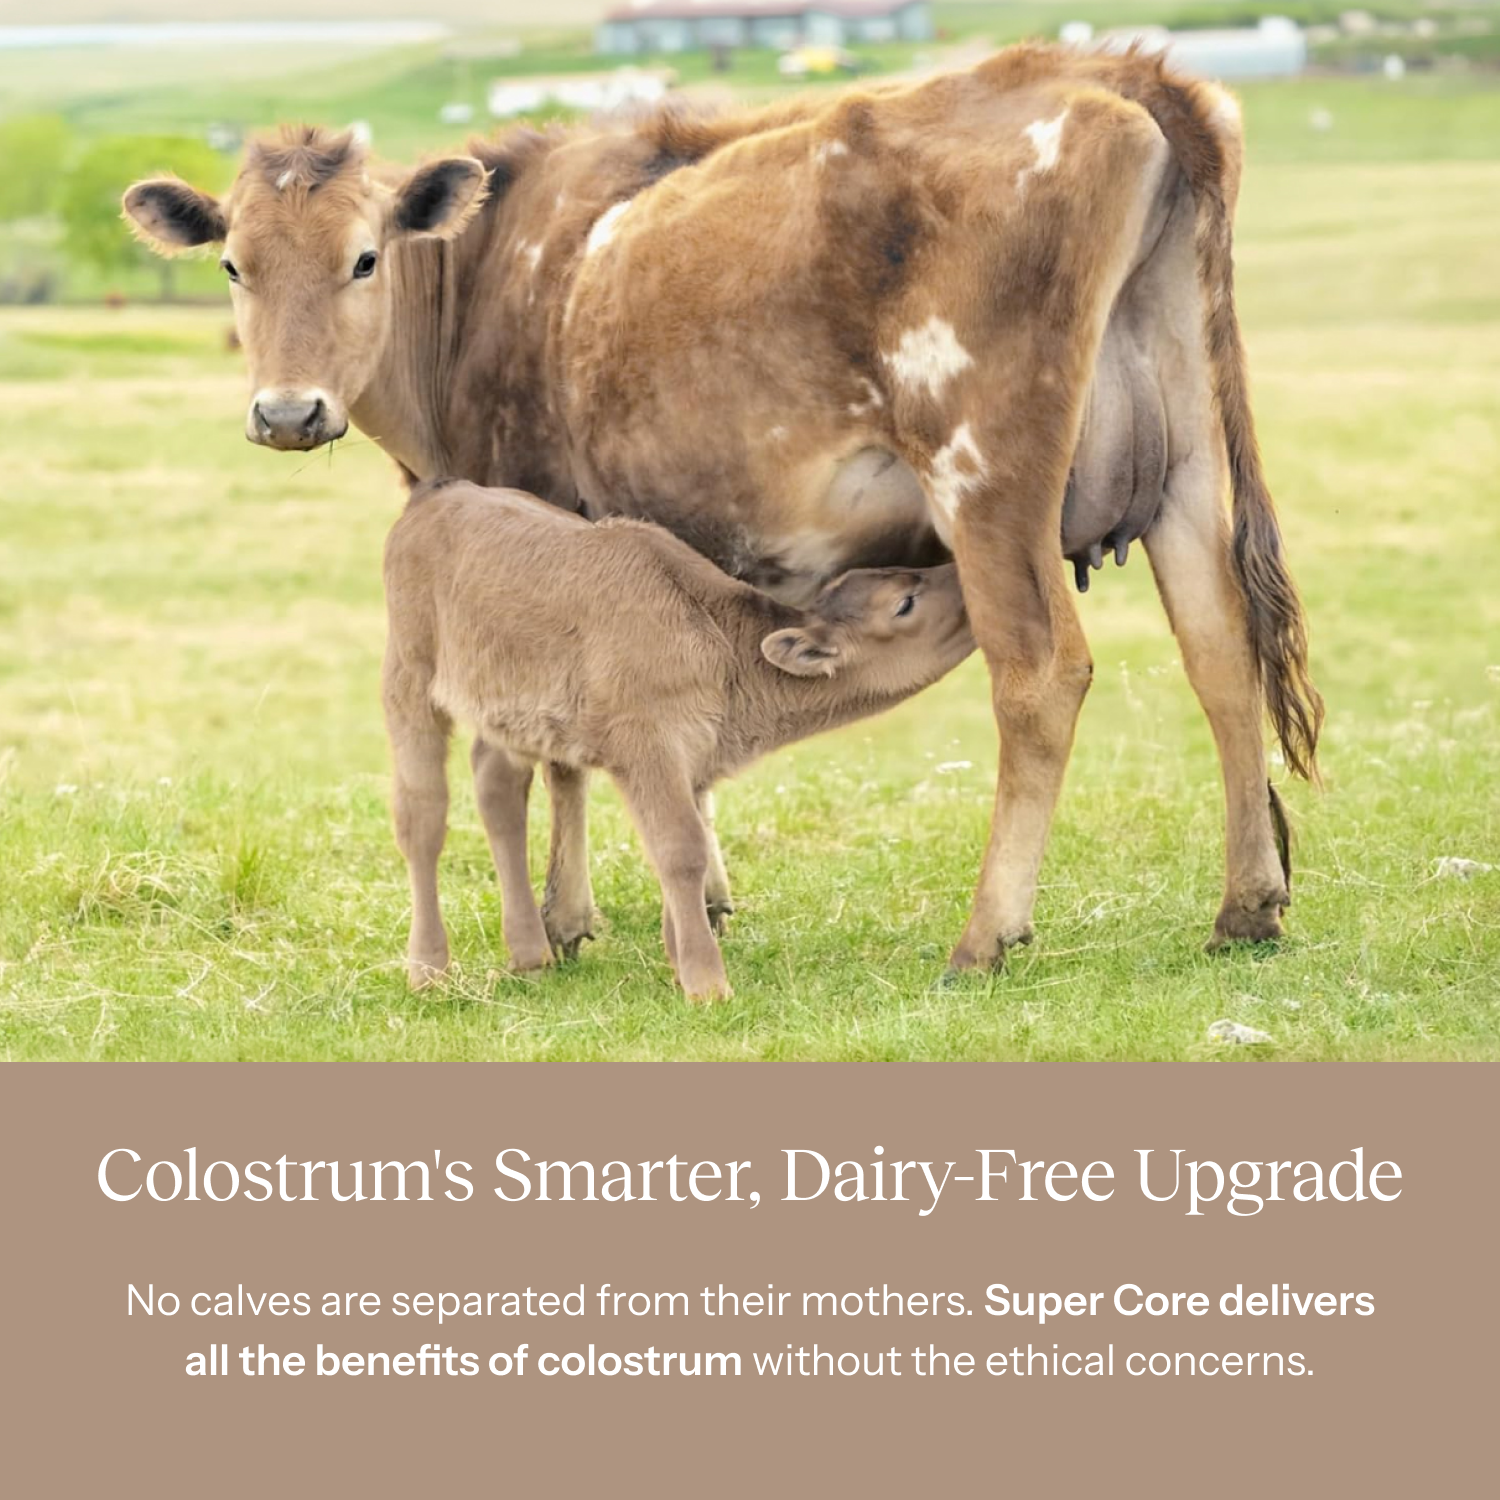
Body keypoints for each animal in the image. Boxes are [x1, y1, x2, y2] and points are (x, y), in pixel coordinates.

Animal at [383, 479, 974, 998]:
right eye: (904, 603)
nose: (964, 579)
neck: (716, 639)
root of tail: (439, 495)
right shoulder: (648, 749)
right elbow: (681, 850)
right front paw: (707, 984)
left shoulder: (690, 757)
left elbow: (679, 847)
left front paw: (677, 960)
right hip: (409, 681)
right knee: (422, 817)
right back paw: (428, 970)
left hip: (506, 713)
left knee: (498, 792)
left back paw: (531, 955)